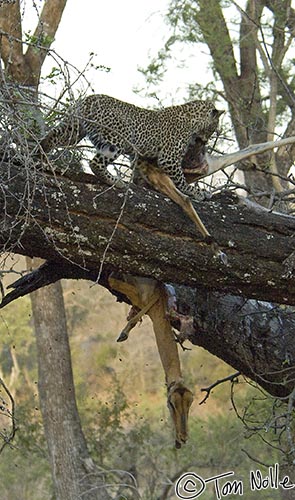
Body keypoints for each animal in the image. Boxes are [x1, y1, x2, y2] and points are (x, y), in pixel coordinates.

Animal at [40, 94, 224, 197]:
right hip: (117, 139)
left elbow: (139, 170)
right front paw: (195, 192)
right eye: (213, 128)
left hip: (73, 129)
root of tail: (89, 99)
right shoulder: (168, 158)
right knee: (95, 163)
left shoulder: (141, 155)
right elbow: (180, 179)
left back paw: (39, 156)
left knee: (50, 137)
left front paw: (142, 184)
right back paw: (116, 182)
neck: (192, 118)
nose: (205, 141)